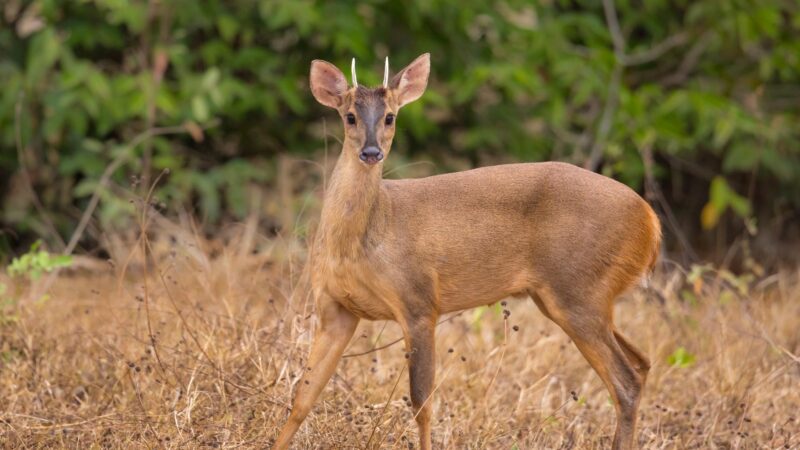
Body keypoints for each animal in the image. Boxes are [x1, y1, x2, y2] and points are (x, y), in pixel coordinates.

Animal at [276, 53, 664, 450]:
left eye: (390, 117)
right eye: (350, 115)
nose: (371, 152)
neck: (364, 239)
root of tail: (650, 221)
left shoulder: (418, 301)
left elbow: (422, 402)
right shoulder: (335, 309)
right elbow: (302, 396)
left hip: (579, 290)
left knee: (626, 380)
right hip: (574, 297)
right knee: (642, 362)